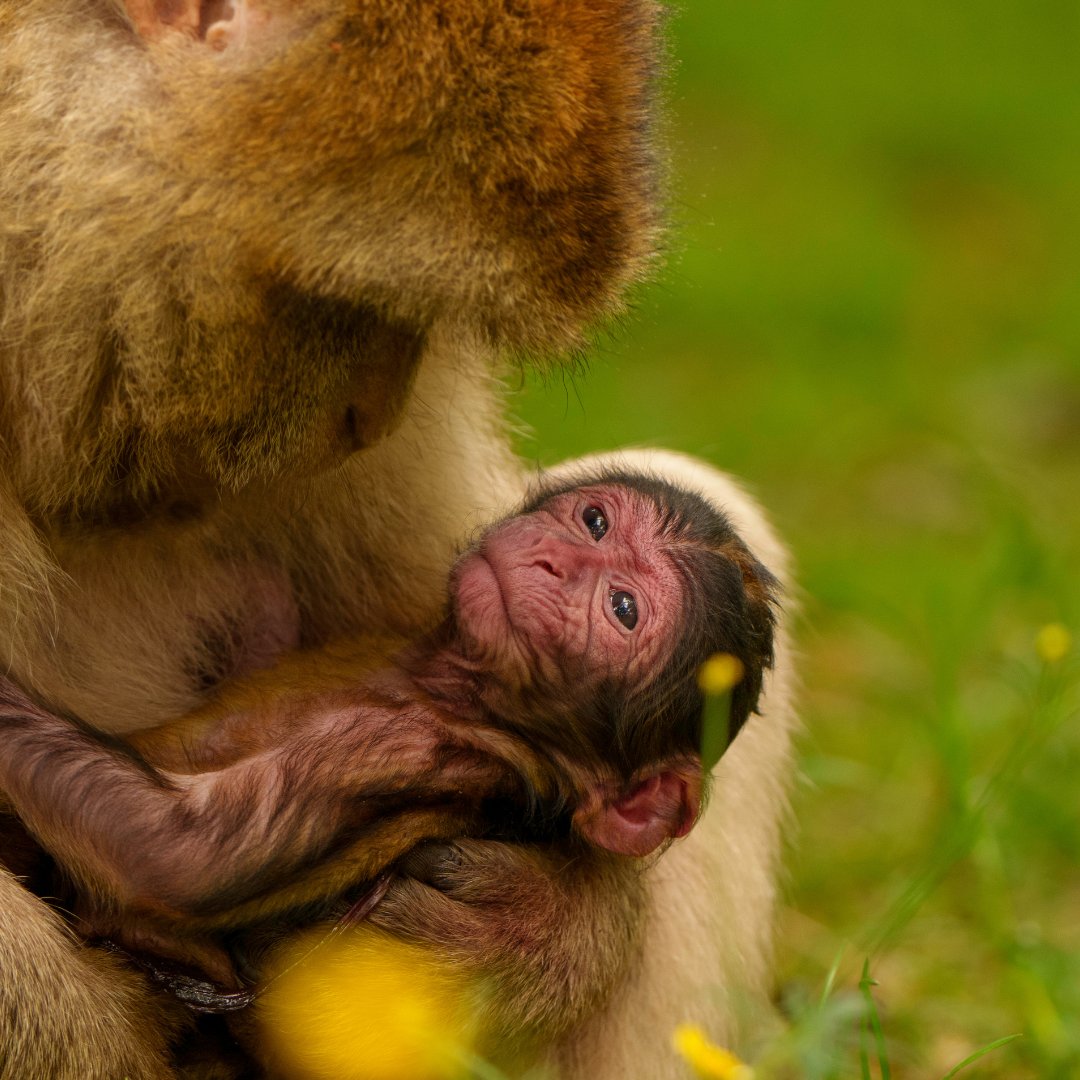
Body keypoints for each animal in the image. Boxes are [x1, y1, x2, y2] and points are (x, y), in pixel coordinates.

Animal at [0, 2, 796, 1078]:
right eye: (591, 522)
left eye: (624, 609)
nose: (368, 414)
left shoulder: (411, 743)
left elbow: (174, 849)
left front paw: (547, 931)